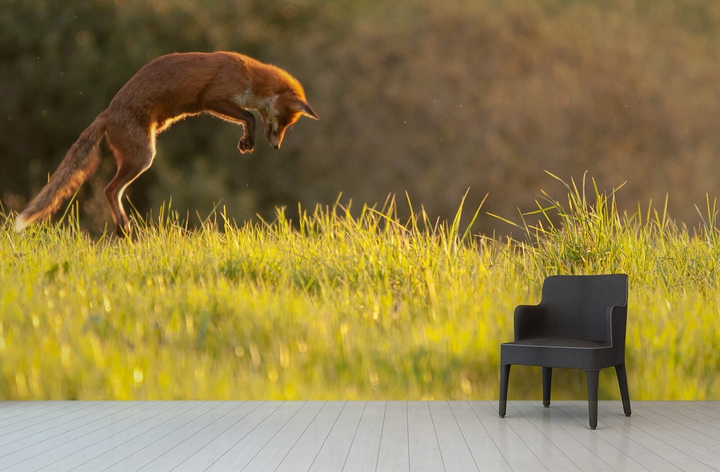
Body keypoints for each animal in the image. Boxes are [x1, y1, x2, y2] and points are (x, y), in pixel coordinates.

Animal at [14, 51, 319, 236]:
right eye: (285, 122)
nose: (277, 147)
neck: (249, 76)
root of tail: (106, 113)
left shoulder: (215, 104)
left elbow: (246, 117)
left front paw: (246, 138)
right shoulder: (212, 98)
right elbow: (250, 115)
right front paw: (249, 137)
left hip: (139, 158)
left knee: (113, 190)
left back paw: (123, 228)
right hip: (144, 157)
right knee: (109, 189)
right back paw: (124, 227)